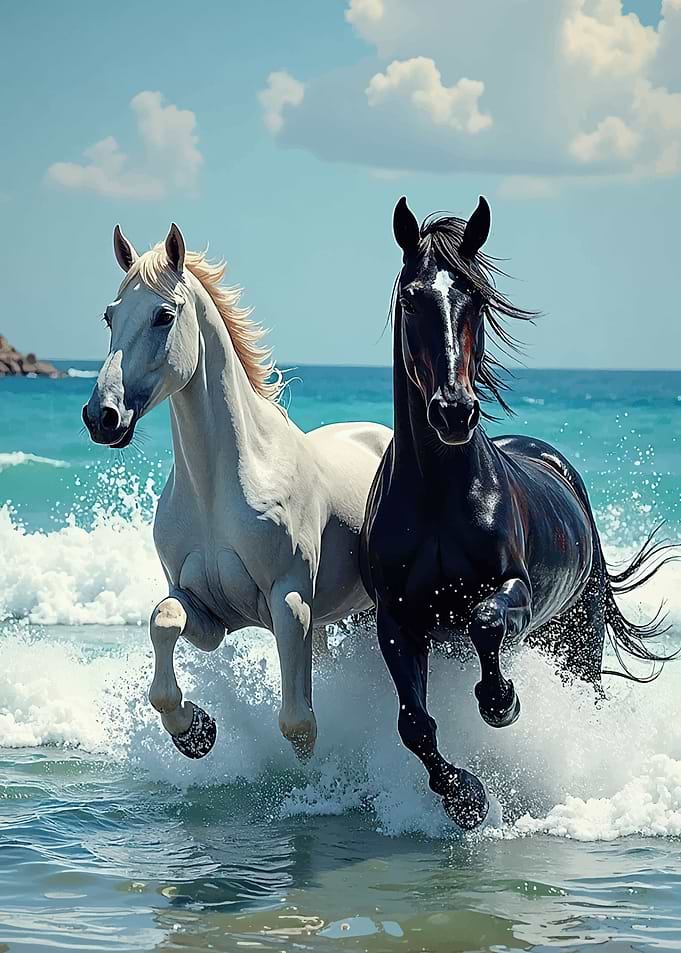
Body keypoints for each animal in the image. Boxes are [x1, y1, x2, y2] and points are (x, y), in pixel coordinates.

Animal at [83, 223, 391, 761]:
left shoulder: (291, 606)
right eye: (110, 315)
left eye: (163, 315)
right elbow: (163, 622)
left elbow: (298, 723)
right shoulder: (206, 613)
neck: (219, 490)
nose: (103, 416)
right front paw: (194, 730)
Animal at [360, 195, 675, 831]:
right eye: (411, 298)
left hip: (576, 638)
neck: (439, 495)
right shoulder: (397, 618)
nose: (453, 412)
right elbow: (414, 724)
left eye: (476, 297)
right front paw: (465, 798)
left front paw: (501, 702)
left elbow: (483, 621)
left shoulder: (514, 588)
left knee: (588, 693)